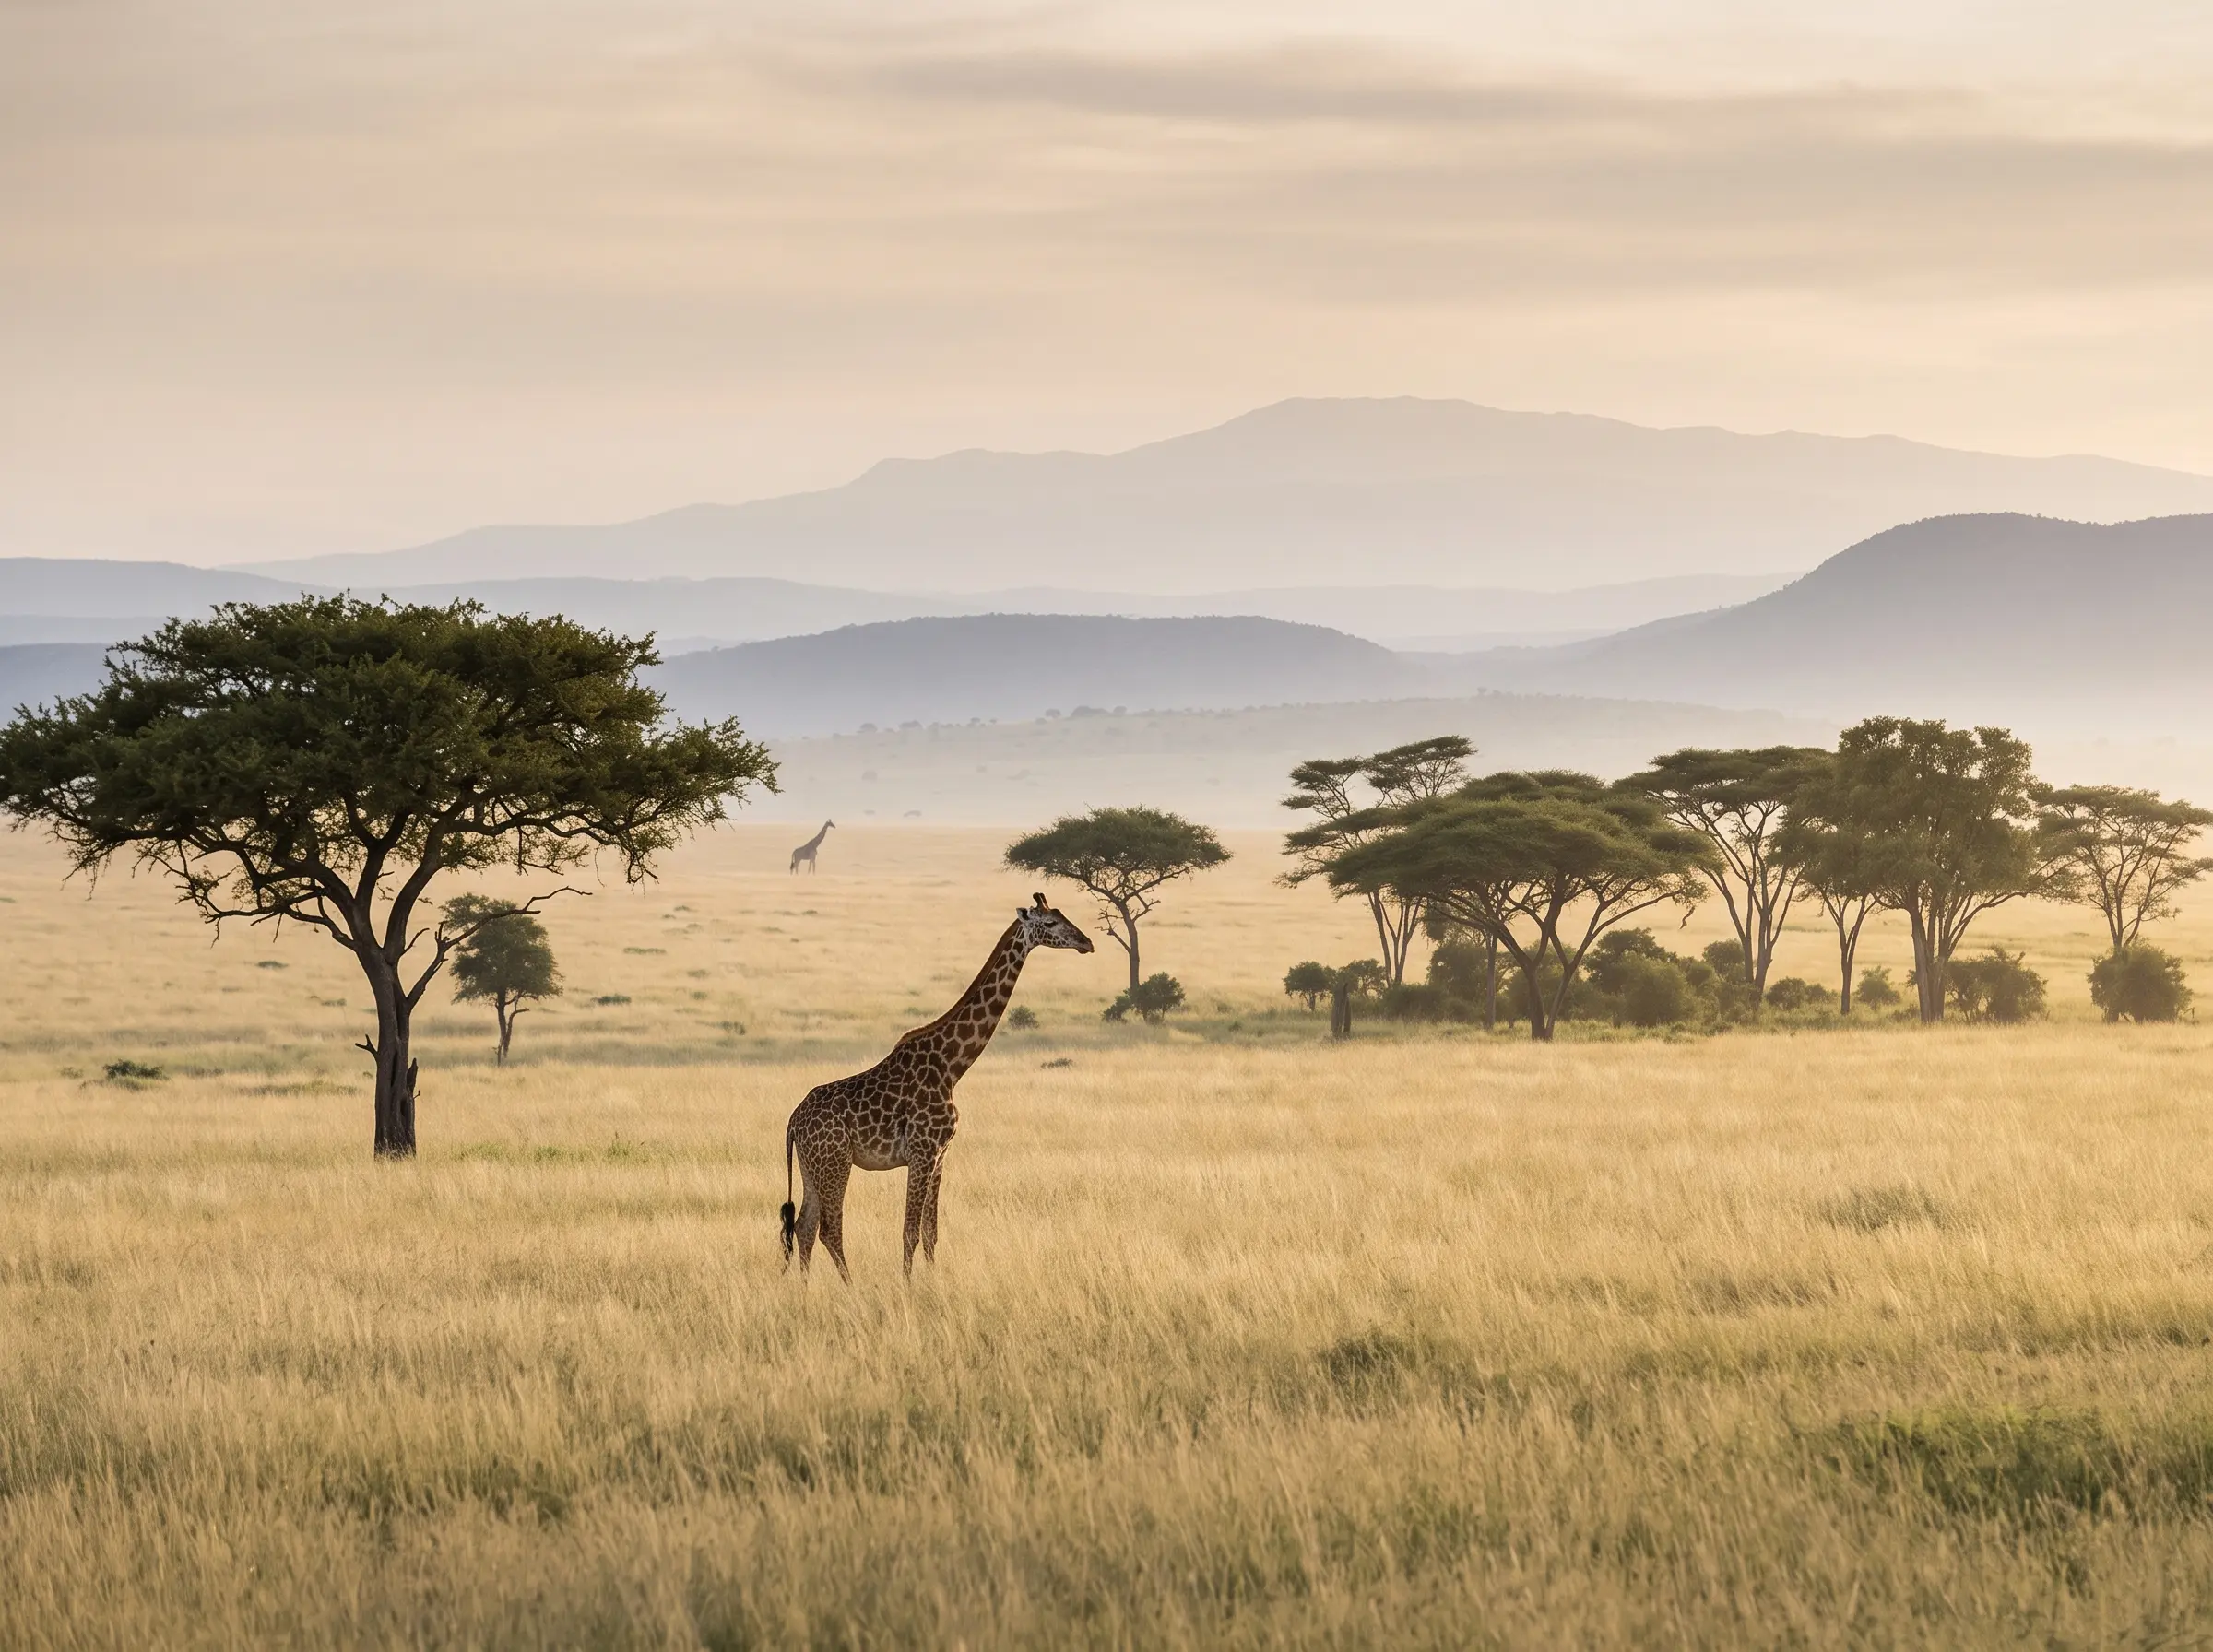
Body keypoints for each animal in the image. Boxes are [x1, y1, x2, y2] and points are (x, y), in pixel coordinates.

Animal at [781, 894, 1092, 1279]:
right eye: (1049, 923)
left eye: (1063, 915)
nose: (1086, 943)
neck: (951, 1067)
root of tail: (794, 1121)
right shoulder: (923, 1151)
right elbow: (910, 1231)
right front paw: (908, 1286)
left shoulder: (941, 1154)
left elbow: (931, 1234)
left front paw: (932, 1282)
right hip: (836, 1163)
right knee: (829, 1229)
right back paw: (850, 1287)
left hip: (812, 1167)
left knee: (804, 1227)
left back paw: (805, 1288)